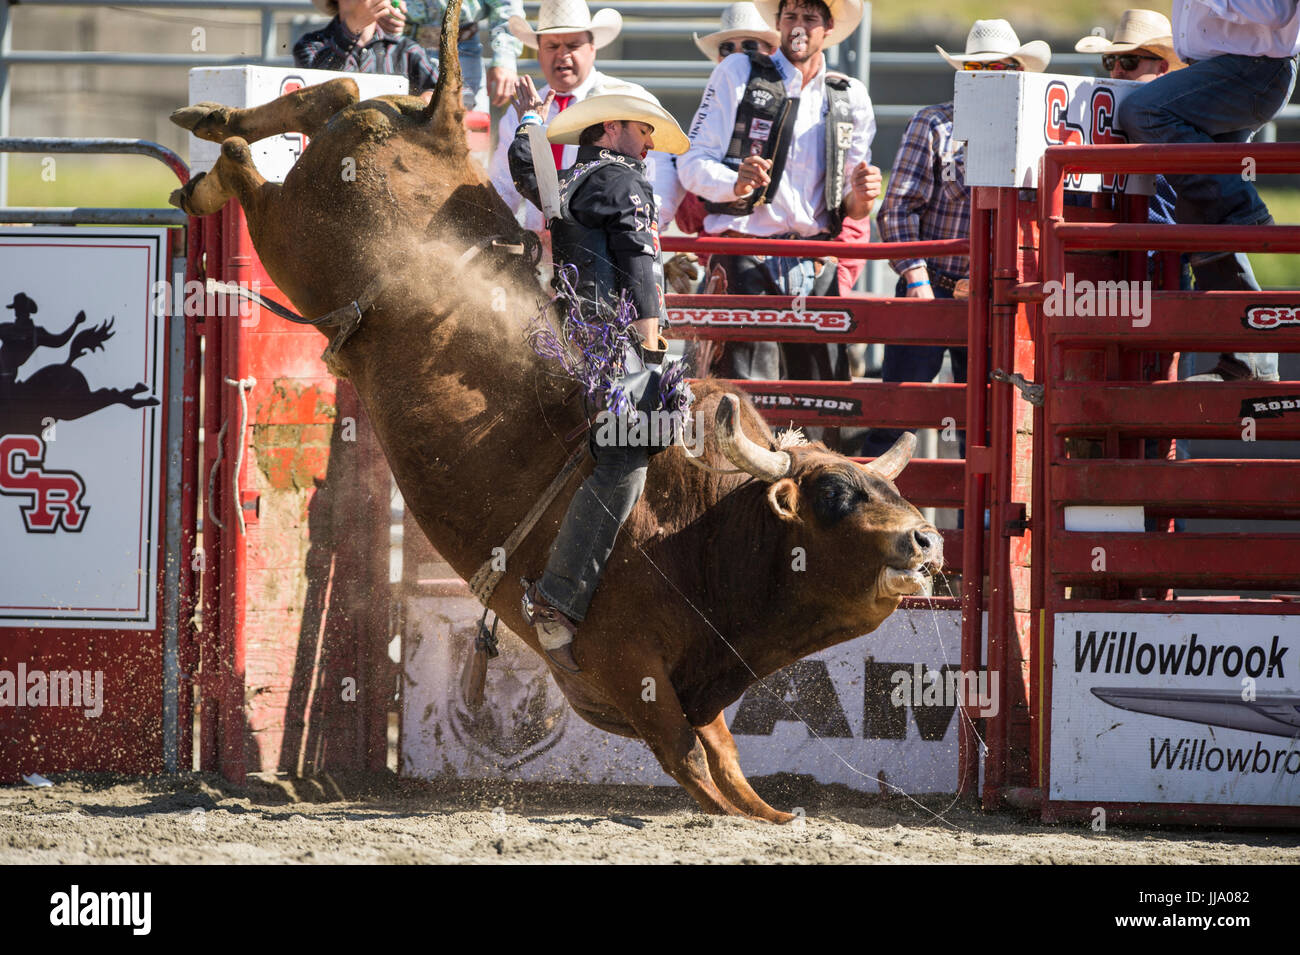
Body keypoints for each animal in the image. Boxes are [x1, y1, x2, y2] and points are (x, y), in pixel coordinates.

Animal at [166, 0, 942, 821]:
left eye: (888, 487)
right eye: (834, 495)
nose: (926, 541)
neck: (698, 528)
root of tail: (443, 126)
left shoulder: (695, 685)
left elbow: (725, 757)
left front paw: (772, 811)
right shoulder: (634, 672)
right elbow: (692, 760)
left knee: (339, 92)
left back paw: (211, 124)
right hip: (293, 241)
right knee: (266, 166)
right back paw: (216, 159)